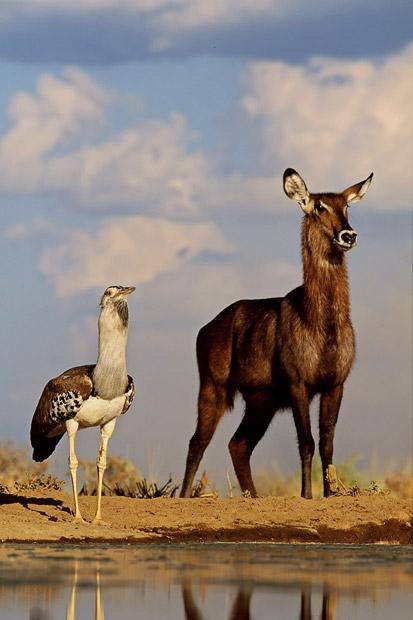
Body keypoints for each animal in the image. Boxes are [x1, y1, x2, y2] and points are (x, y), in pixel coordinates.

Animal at [180, 166, 374, 498]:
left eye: (347, 206)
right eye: (319, 207)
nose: (348, 235)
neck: (320, 323)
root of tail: (206, 329)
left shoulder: (335, 384)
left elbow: (328, 444)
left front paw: (330, 494)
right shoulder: (298, 383)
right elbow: (307, 442)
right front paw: (306, 496)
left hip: (262, 400)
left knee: (238, 445)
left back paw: (253, 497)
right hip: (213, 387)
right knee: (197, 442)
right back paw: (182, 497)